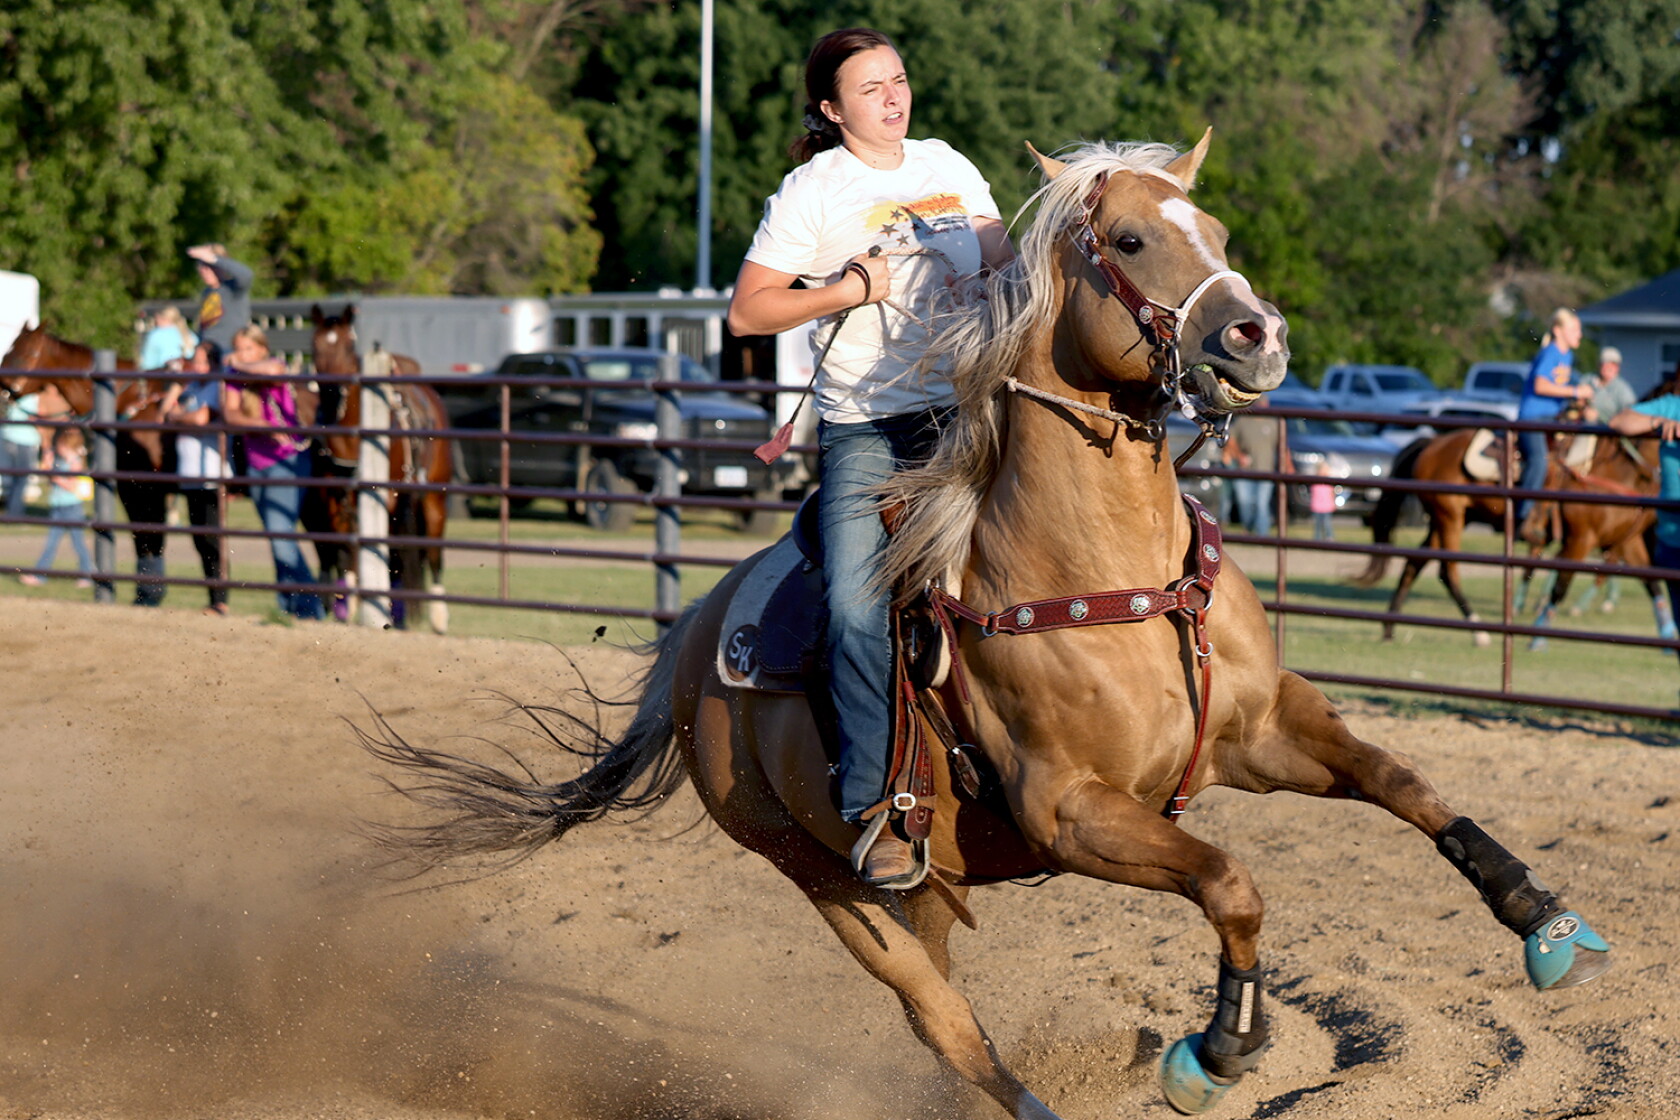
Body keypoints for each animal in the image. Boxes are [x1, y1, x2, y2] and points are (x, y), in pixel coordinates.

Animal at [0, 324, 178, 604]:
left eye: (22, 353)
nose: (2, 387)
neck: (132, 402)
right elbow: (148, 536)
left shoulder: (142, 487)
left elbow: (148, 535)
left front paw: (149, 593)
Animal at [308, 304, 451, 633]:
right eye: (315, 345)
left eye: (349, 345)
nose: (332, 392)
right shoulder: (333, 501)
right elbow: (346, 550)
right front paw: (347, 603)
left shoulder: (385, 498)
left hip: (432, 498)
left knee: (433, 551)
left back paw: (438, 616)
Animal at [360, 136, 1610, 1116]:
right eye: (1130, 241)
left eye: (1210, 225)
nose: (1258, 335)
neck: (1114, 574)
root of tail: (696, 635)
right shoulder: (1073, 811)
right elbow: (1231, 881)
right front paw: (1216, 1049)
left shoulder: (1257, 729)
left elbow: (1405, 783)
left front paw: (1545, 924)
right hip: (825, 877)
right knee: (944, 1024)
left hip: (928, 881)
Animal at [1354, 425, 1669, 646]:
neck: (1616, 471)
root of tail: (1431, 443)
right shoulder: (1581, 539)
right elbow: (1560, 588)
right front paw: (1538, 637)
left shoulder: (1628, 540)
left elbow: (1651, 582)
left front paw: (1668, 637)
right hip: (1449, 517)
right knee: (1448, 570)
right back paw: (1479, 632)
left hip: (1446, 520)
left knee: (1414, 563)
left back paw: (1389, 627)